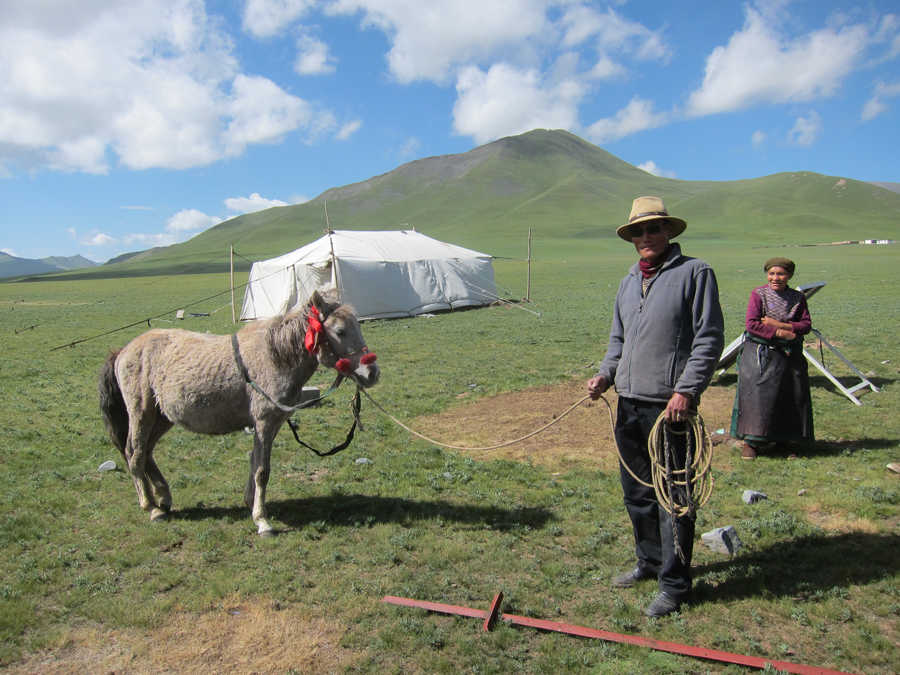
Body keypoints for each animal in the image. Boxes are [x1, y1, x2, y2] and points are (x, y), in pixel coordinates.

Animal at [98, 290, 380, 532]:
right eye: (340, 331)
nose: (372, 373)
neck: (274, 357)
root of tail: (123, 351)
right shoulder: (265, 422)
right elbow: (262, 471)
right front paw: (262, 521)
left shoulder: (271, 423)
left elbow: (255, 462)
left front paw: (250, 503)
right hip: (141, 412)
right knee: (134, 453)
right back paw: (152, 508)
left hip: (162, 416)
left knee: (147, 452)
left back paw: (164, 498)